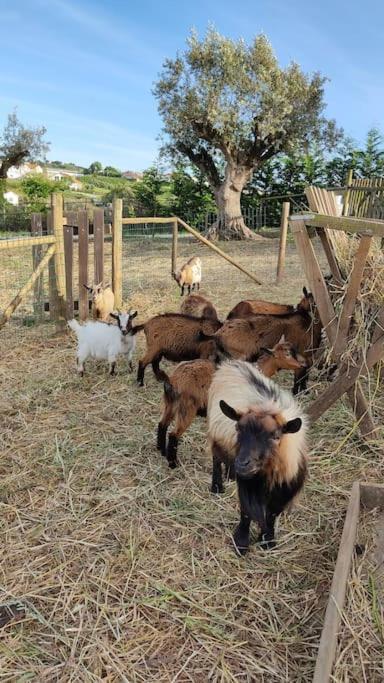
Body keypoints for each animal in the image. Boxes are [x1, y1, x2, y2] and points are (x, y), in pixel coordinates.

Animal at [156, 336, 306, 470]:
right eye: (287, 354)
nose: (303, 364)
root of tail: (172, 380)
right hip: (186, 408)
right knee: (173, 434)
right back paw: (173, 464)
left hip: (170, 404)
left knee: (162, 424)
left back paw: (161, 451)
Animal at [207, 360, 308, 552]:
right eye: (238, 428)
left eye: (275, 436)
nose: (242, 463)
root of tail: (232, 363)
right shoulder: (248, 485)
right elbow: (246, 511)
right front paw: (241, 542)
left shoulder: (283, 491)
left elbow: (272, 515)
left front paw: (267, 540)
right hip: (216, 436)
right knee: (216, 458)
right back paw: (217, 486)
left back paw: (230, 474)